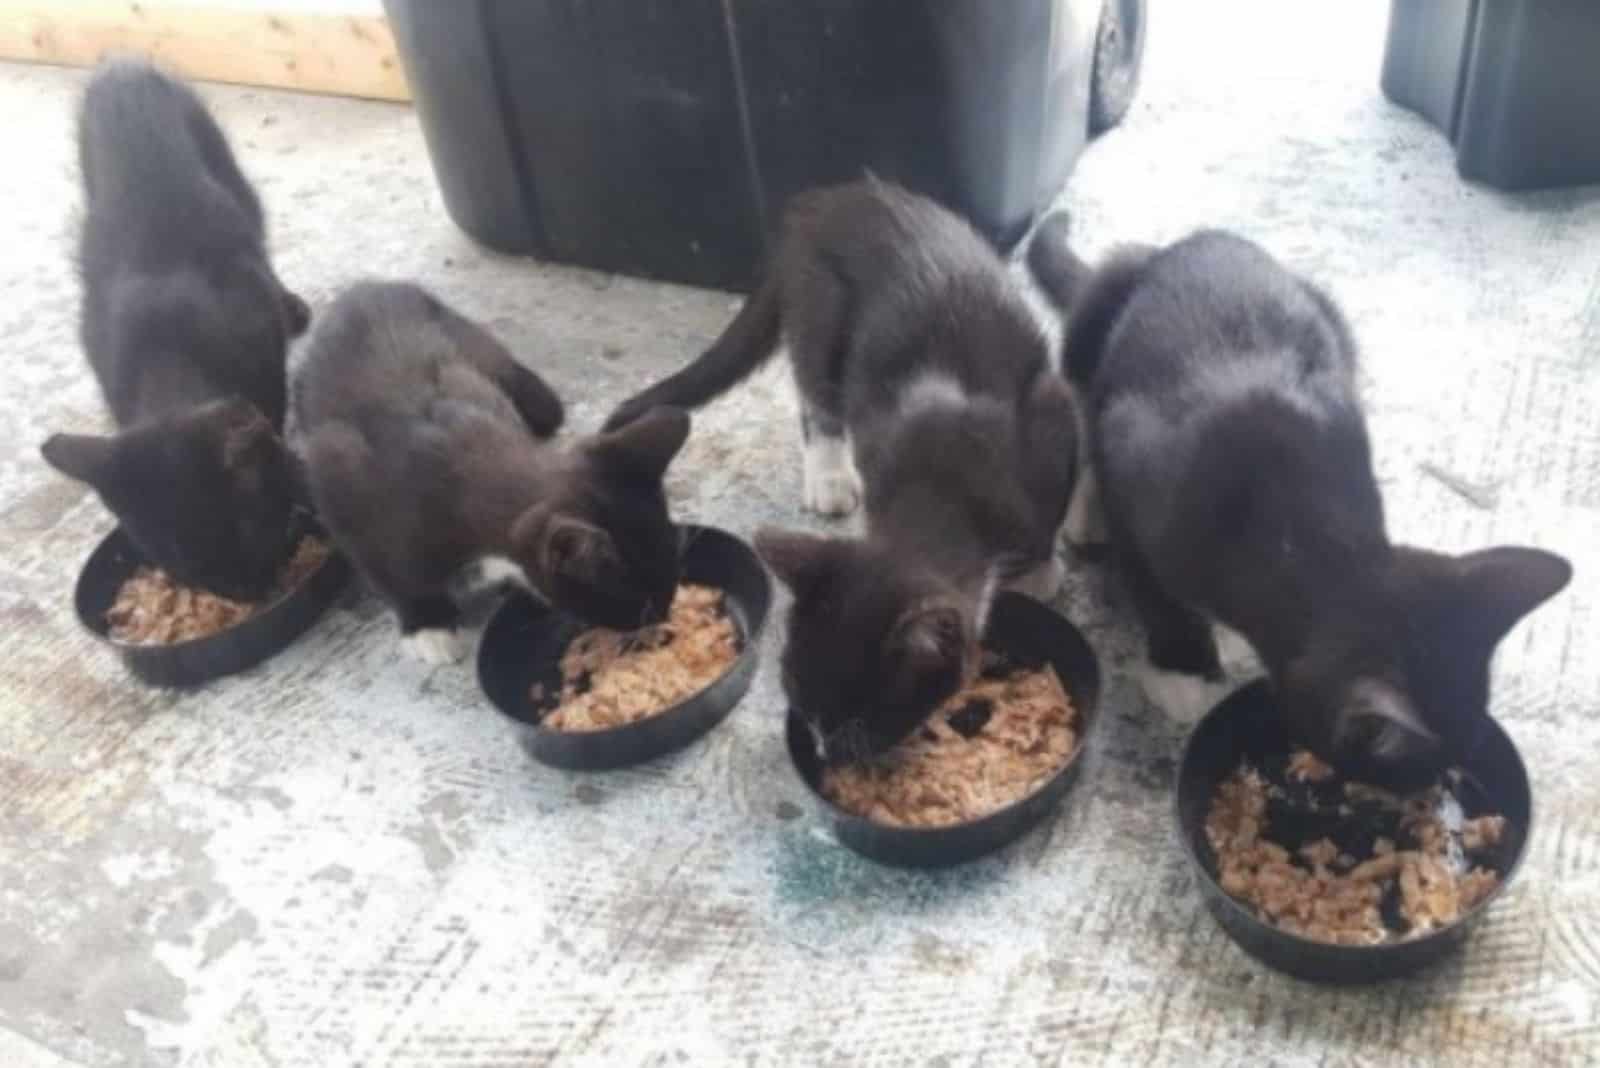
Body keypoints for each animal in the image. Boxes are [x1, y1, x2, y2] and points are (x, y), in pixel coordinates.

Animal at [40, 60, 310, 601]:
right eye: (188, 570)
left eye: (250, 539)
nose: (247, 593)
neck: (168, 358)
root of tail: (121, 68)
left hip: (226, 168)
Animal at [291, 279, 691, 661]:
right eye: (640, 604)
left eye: (672, 580)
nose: (663, 619)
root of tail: (364, 288)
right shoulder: (339, 472)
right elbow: (385, 568)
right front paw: (427, 626)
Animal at [604, 177, 1081, 757]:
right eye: (797, 697)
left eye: (863, 720)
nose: (825, 750)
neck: (946, 487)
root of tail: (822, 205)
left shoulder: (1053, 415)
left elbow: (1048, 512)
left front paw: (1041, 568)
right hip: (820, 313)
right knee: (816, 398)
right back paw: (829, 478)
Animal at [1024, 214, 1574, 783]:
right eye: (1413, 776)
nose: (1446, 783)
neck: (1302, 529)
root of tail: (1195, 240)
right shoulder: (1134, 453)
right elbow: (1147, 574)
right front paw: (1182, 669)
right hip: (1104, 307)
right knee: (1083, 384)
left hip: (1329, 313)